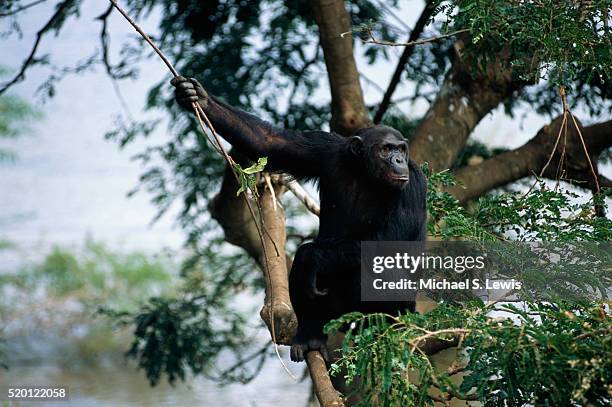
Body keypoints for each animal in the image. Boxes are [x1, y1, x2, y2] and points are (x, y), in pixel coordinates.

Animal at [172, 76, 428, 364]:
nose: (398, 159)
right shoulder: (325, 149)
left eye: (401, 149)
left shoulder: (412, 185)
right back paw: (310, 335)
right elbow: (270, 142)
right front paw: (198, 97)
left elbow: (386, 245)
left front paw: (311, 256)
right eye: (386, 149)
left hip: (401, 308)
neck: (365, 173)